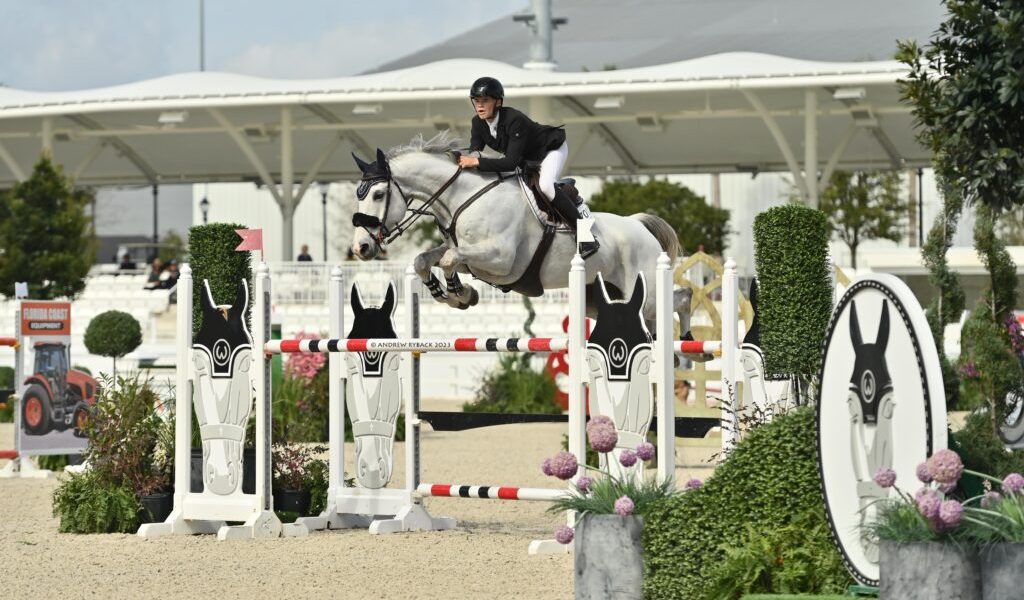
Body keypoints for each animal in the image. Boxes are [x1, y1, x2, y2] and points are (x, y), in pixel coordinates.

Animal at [349, 132, 691, 331]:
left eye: (378, 195)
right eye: (359, 194)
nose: (360, 248)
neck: (464, 196)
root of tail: (641, 227)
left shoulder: (502, 260)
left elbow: (448, 259)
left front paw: (460, 293)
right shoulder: (473, 257)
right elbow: (427, 259)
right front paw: (453, 294)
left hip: (646, 293)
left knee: (680, 299)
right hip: (602, 301)